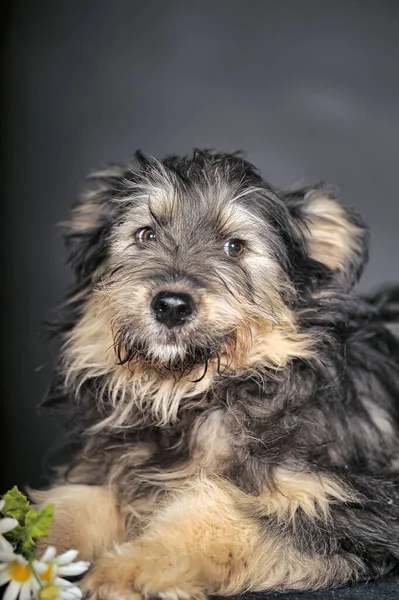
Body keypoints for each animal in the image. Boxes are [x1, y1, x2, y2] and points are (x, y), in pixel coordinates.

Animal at [32, 151, 399, 600]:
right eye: (146, 234)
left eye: (234, 246)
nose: (171, 305)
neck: (191, 395)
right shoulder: (106, 473)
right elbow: (67, 507)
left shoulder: (347, 501)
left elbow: (221, 517)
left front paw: (132, 568)